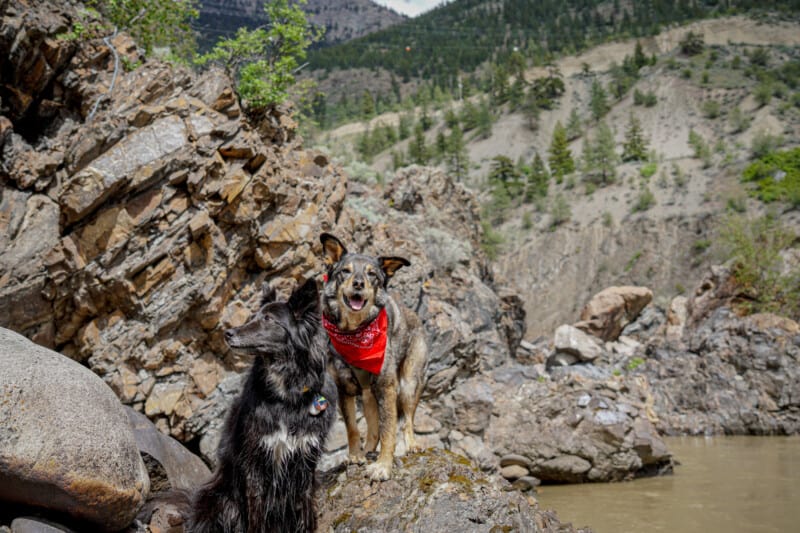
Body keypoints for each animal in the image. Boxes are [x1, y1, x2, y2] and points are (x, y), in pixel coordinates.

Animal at [189, 278, 336, 532]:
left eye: (268, 319)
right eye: (253, 316)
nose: (228, 333)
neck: (286, 395)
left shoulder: (306, 462)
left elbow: (305, 507)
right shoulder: (255, 461)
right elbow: (256, 512)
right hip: (220, 499)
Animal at [320, 232, 428, 478]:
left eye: (372, 274)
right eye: (345, 271)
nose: (359, 284)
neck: (355, 332)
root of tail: (415, 316)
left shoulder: (387, 387)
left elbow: (389, 429)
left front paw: (383, 466)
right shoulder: (344, 389)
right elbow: (352, 428)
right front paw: (355, 455)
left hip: (409, 383)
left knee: (407, 420)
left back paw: (412, 444)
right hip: (368, 395)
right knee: (372, 427)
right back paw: (368, 449)